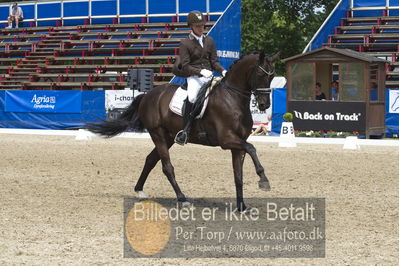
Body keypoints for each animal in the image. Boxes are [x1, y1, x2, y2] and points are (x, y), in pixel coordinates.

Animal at [89, 51, 280, 211]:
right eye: (261, 75)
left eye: (272, 77)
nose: (264, 105)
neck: (233, 98)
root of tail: (148, 95)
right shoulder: (226, 140)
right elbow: (252, 148)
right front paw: (264, 180)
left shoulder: (237, 145)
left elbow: (238, 176)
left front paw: (242, 207)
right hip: (158, 134)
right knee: (167, 167)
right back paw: (182, 198)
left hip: (169, 137)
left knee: (150, 160)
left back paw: (140, 191)